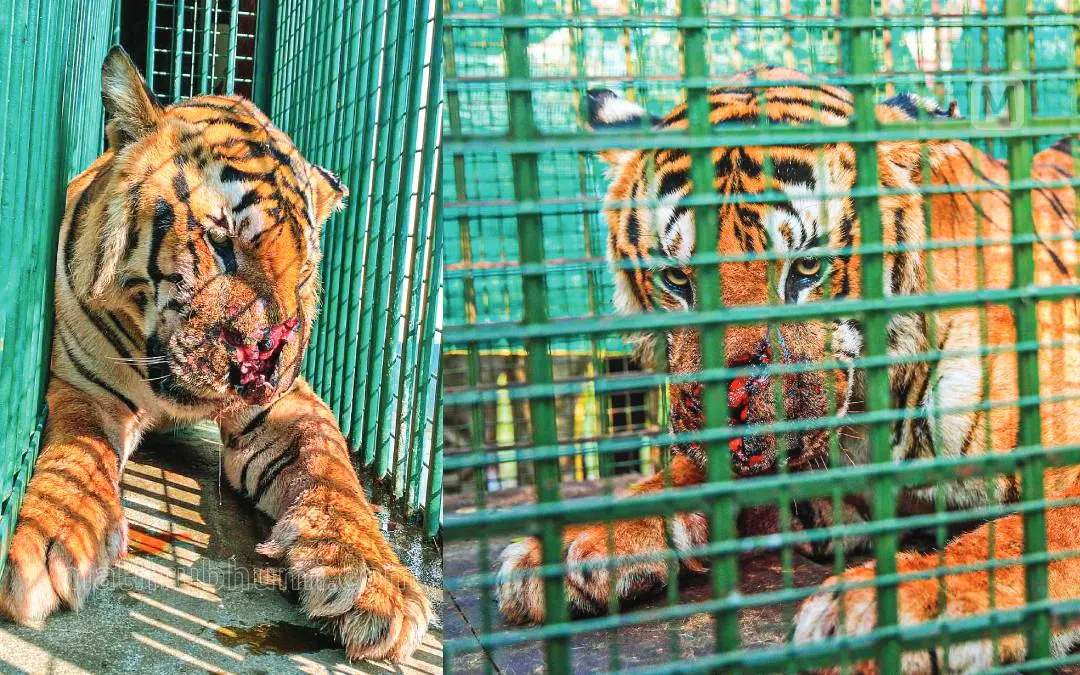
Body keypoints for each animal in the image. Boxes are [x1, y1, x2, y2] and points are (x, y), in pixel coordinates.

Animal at [0, 46, 432, 662]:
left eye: (303, 272)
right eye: (222, 244)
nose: (264, 363)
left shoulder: (287, 404)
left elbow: (331, 469)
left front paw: (374, 579)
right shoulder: (83, 387)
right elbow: (80, 451)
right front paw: (56, 536)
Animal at [495, 64, 1080, 670]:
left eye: (806, 270)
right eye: (677, 279)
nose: (725, 407)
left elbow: (1026, 537)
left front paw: (882, 611)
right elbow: (683, 478)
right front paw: (572, 545)